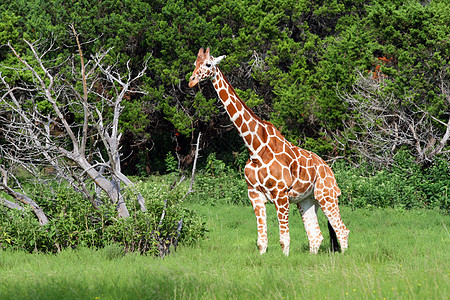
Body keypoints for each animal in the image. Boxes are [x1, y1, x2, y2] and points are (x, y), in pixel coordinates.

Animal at [188, 47, 350, 255]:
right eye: (195, 64)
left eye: (208, 64)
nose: (191, 80)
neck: (255, 149)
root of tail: (329, 170)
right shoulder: (254, 195)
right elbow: (261, 241)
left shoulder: (280, 194)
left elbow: (284, 240)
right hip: (306, 200)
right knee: (316, 236)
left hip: (326, 195)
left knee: (341, 230)